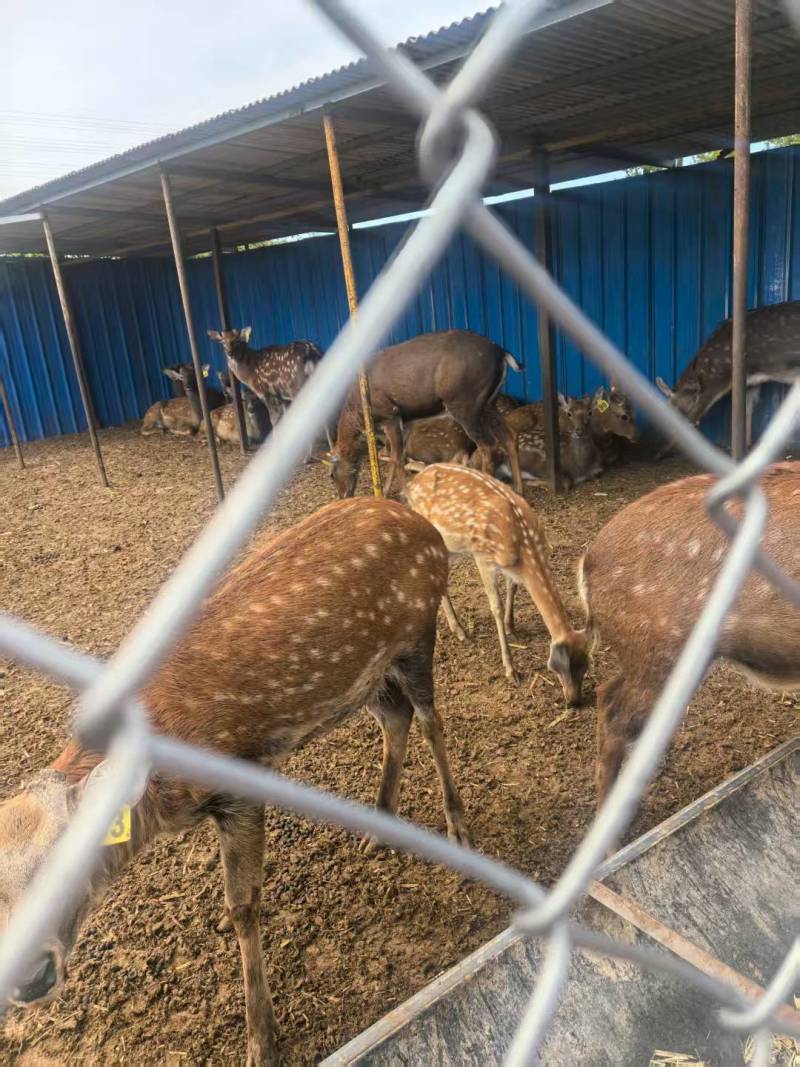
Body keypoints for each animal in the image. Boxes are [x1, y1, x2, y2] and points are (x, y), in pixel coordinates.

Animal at [0, 497, 469, 1067]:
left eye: (71, 858)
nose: (29, 977)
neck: (161, 802)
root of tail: (426, 526)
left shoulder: (241, 781)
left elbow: (244, 904)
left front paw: (261, 1039)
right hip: (366, 679)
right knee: (394, 720)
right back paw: (379, 828)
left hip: (418, 633)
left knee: (429, 721)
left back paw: (457, 827)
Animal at [329, 330, 524, 498]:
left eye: (331, 475)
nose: (344, 496)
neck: (358, 412)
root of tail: (502, 353)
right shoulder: (402, 421)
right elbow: (394, 455)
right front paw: (384, 493)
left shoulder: (390, 414)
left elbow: (396, 458)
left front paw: (403, 494)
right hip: (489, 402)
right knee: (509, 436)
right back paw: (518, 489)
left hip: (465, 402)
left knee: (487, 445)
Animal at [406, 463, 588, 702]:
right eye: (564, 667)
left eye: (586, 666)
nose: (574, 700)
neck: (524, 547)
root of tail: (411, 483)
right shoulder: (482, 556)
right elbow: (496, 606)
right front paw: (511, 670)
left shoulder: (511, 567)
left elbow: (513, 588)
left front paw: (512, 628)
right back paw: (460, 631)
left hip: (450, 547)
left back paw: (457, 628)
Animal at [655, 299, 800, 450]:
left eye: (675, 410)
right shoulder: (752, 383)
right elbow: (747, 410)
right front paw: (747, 446)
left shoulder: (715, 380)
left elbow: (693, 417)